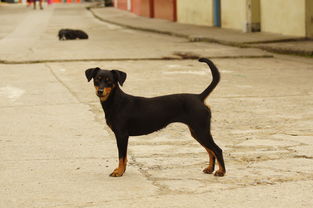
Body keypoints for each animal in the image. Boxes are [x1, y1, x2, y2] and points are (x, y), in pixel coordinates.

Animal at [84, 58, 224, 177]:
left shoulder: (122, 135)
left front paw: (119, 172)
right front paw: (121, 170)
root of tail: (199, 97)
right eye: (97, 79)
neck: (116, 102)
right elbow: (124, 157)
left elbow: (121, 156)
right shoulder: (123, 136)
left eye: (109, 81)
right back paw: (210, 169)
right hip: (197, 132)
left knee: (217, 150)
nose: (100, 91)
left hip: (201, 131)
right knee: (210, 150)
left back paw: (221, 172)